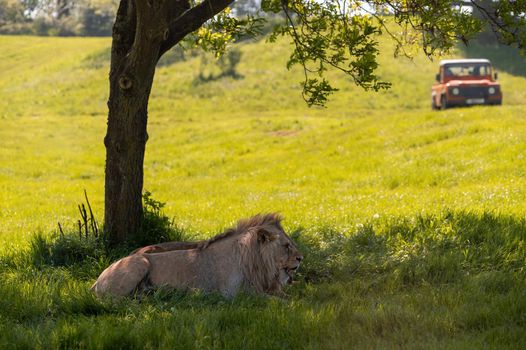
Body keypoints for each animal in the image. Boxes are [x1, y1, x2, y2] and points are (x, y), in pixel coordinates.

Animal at [93, 213, 304, 298]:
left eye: (292, 244)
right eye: (286, 246)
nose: (301, 258)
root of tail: (96, 280)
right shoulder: (235, 295)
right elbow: (275, 301)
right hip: (140, 262)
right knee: (112, 300)